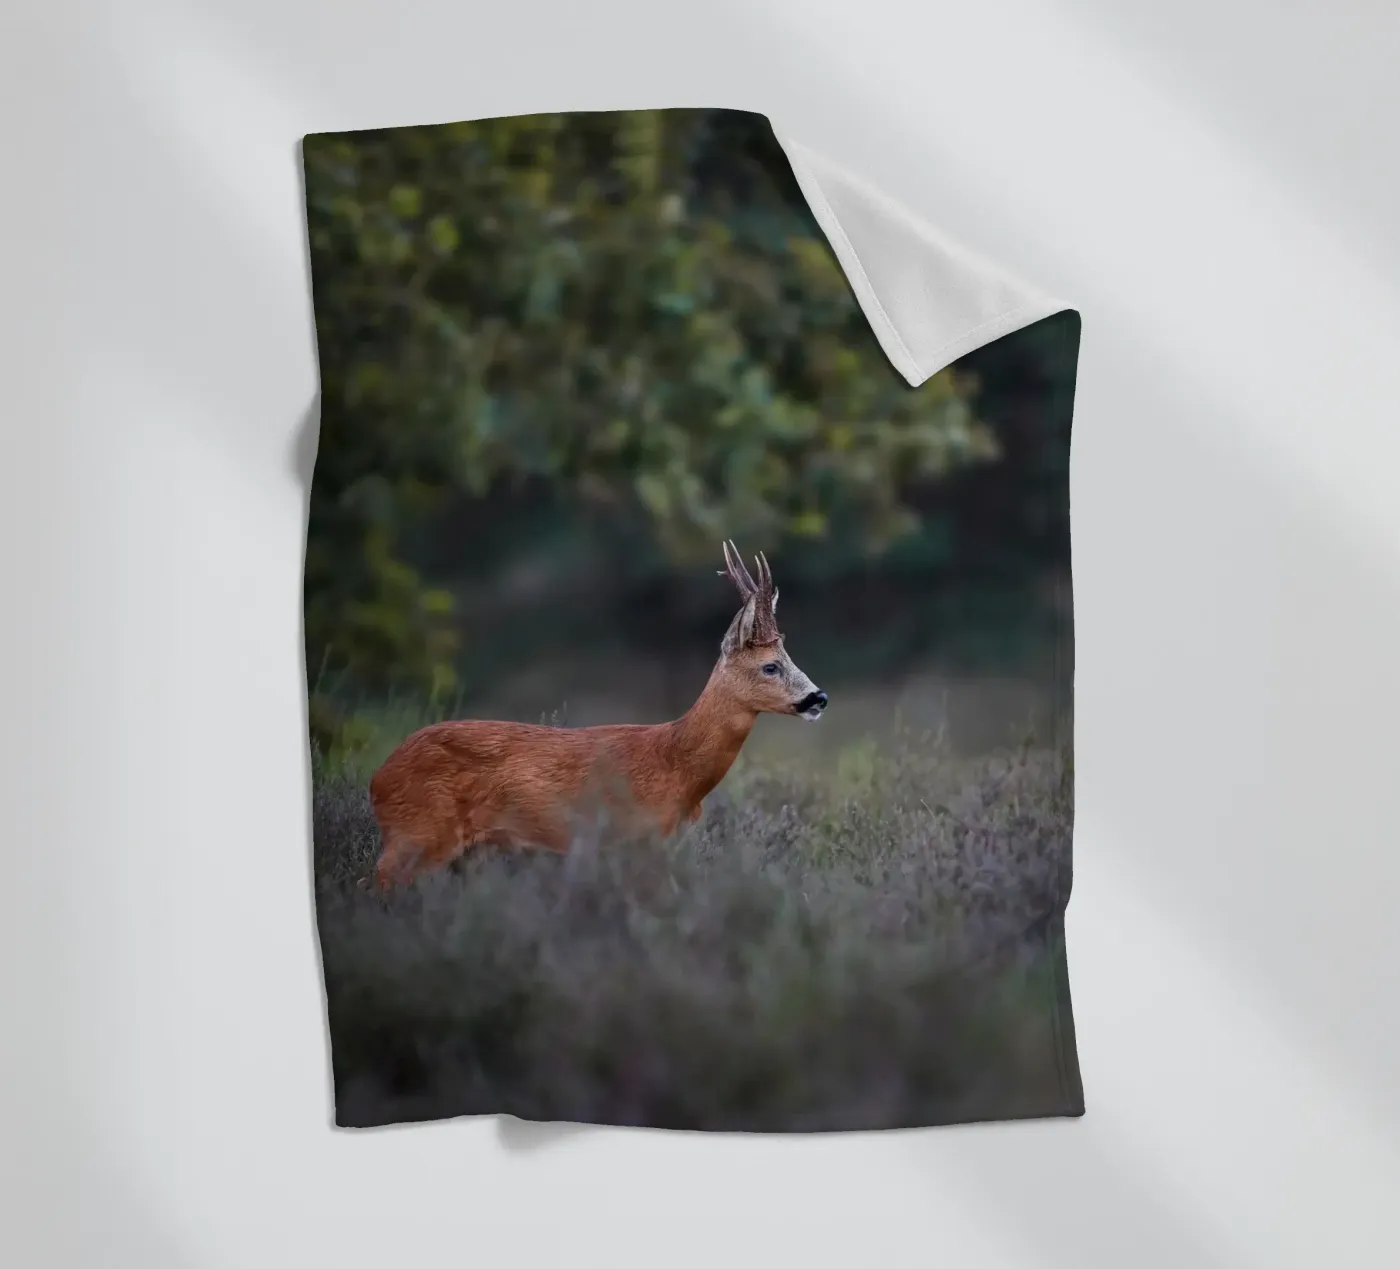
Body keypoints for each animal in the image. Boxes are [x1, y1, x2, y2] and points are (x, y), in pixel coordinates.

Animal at [367, 541, 828, 888]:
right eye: (770, 666)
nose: (817, 698)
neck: (676, 767)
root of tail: (378, 780)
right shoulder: (634, 839)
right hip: (419, 832)